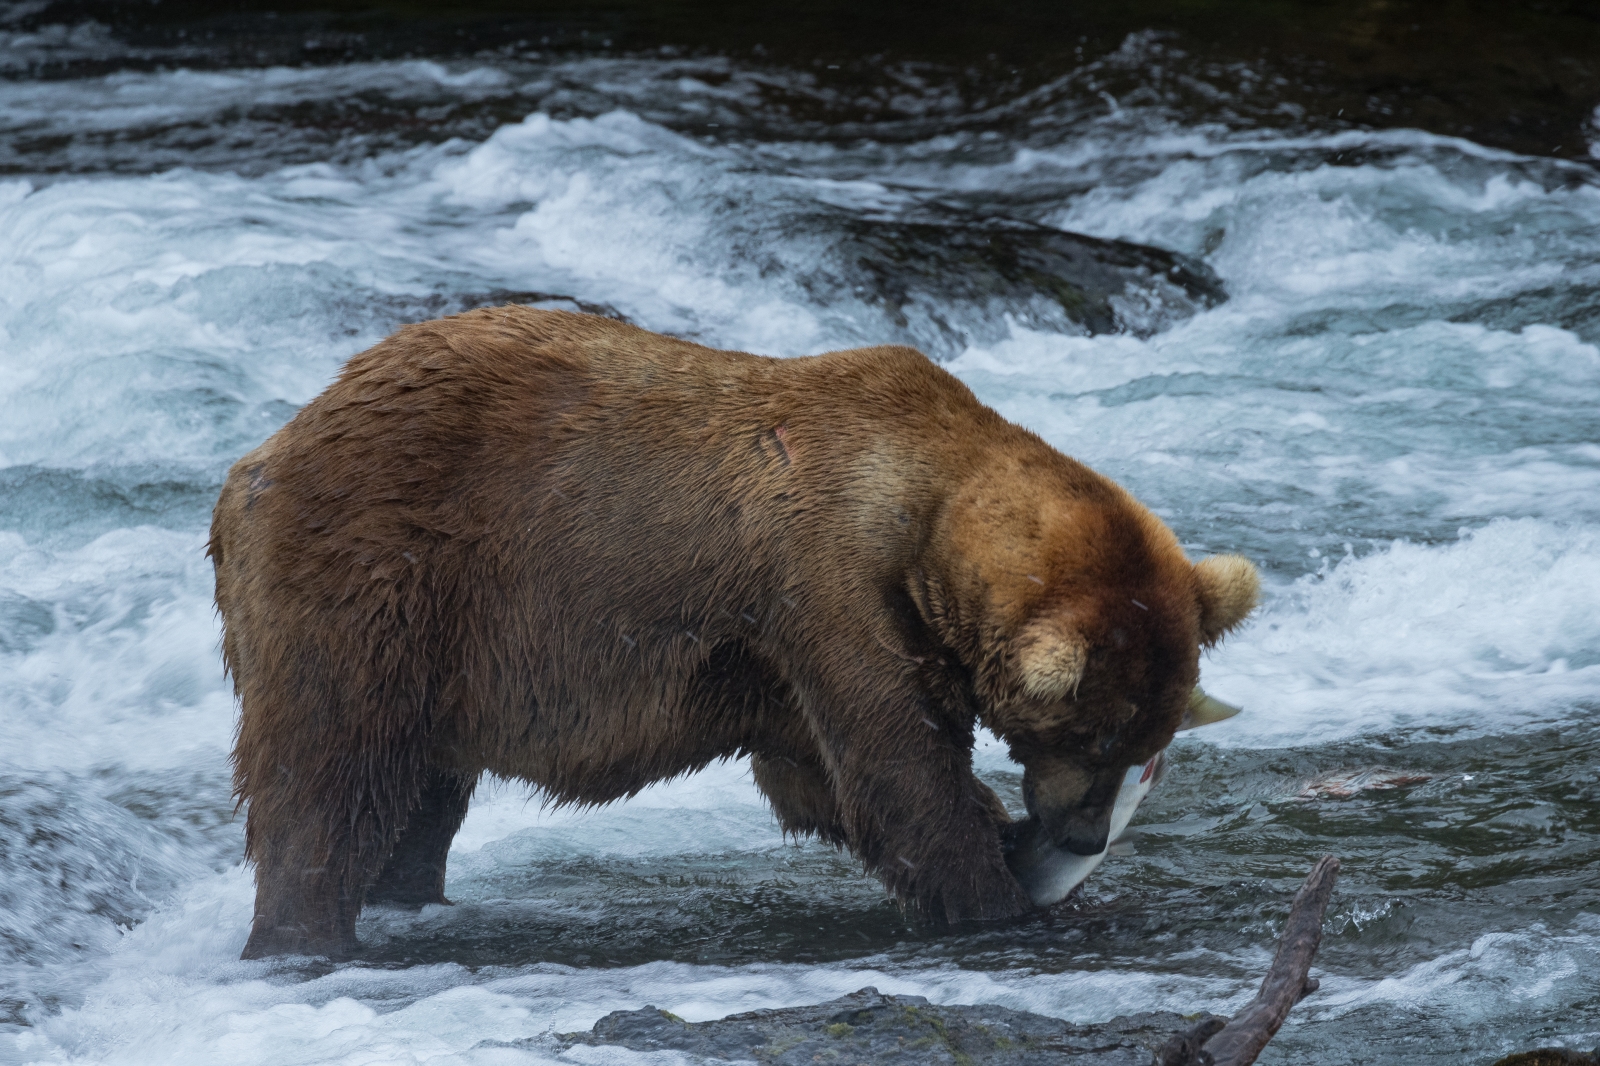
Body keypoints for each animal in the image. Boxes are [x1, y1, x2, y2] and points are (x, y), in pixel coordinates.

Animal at [212, 305, 1254, 953]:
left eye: (1152, 736)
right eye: (1097, 734)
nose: (1081, 834)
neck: (925, 516)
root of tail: (262, 451)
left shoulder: (793, 648)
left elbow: (816, 779)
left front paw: (1006, 851)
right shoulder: (826, 584)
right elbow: (896, 772)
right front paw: (1003, 899)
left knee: (422, 792)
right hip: (384, 576)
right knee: (329, 770)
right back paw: (305, 934)